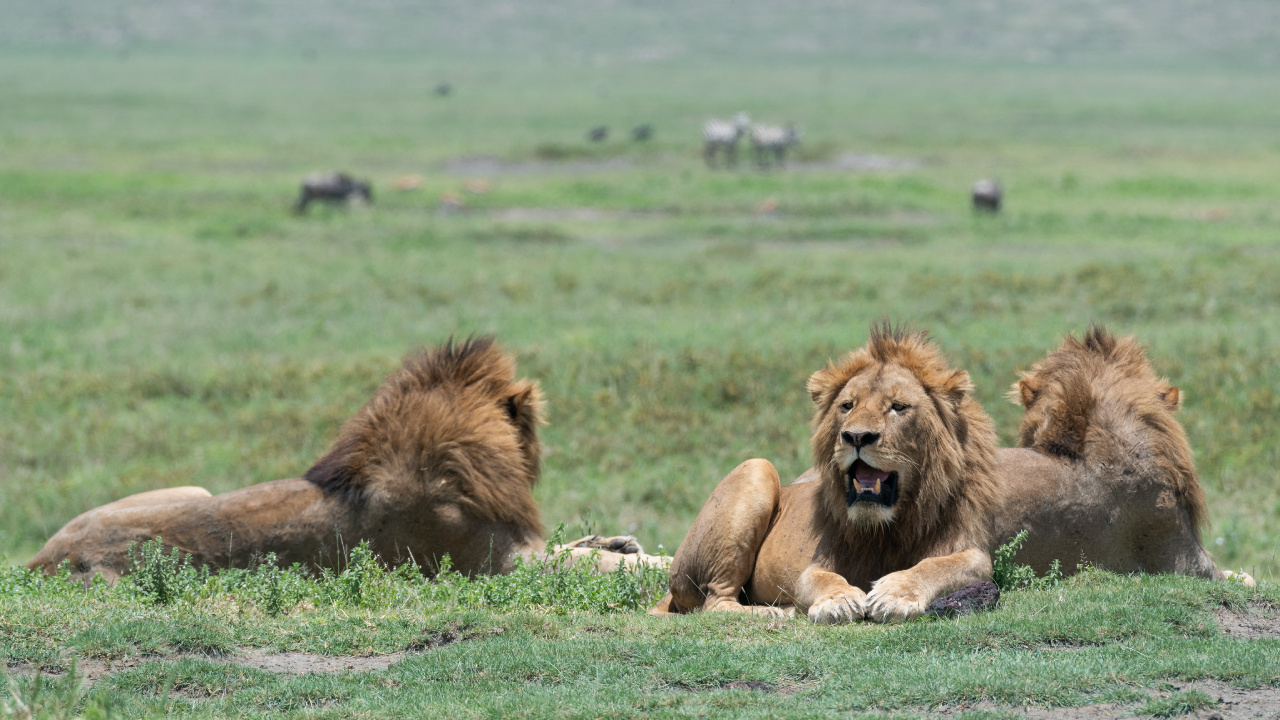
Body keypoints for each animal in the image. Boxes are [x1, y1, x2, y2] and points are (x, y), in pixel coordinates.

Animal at [29, 337, 665, 583]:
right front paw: (642, 560)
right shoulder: (498, 564)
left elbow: (584, 549)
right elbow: (598, 566)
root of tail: (39, 560)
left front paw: (622, 543)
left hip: (193, 490)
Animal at [650, 324, 1001, 623]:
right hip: (756, 468)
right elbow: (819, 579)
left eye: (898, 406)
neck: (889, 526)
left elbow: (937, 566)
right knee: (714, 602)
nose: (856, 437)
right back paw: (773, 612)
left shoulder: (971, 550)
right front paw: (839, 601)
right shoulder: (815, 564)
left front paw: (895, 594)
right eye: (847, 406)